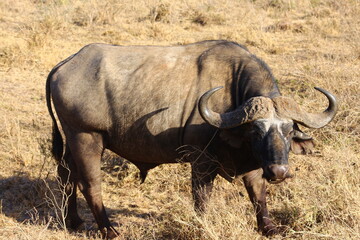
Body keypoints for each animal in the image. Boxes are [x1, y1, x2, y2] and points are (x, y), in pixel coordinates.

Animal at [45, 40, 338, 239]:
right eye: (256, 131)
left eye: (288, 130)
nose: (279, 172)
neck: (231, 92)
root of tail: (65, 64)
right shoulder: (201, 162)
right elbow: (201, 198)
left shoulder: (253, 162)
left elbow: (258, 193)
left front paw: (268, 227)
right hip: (86, 137)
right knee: (89, 183)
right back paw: (108, 229)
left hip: (72, 140)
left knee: (66, 174)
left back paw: (73, 221)